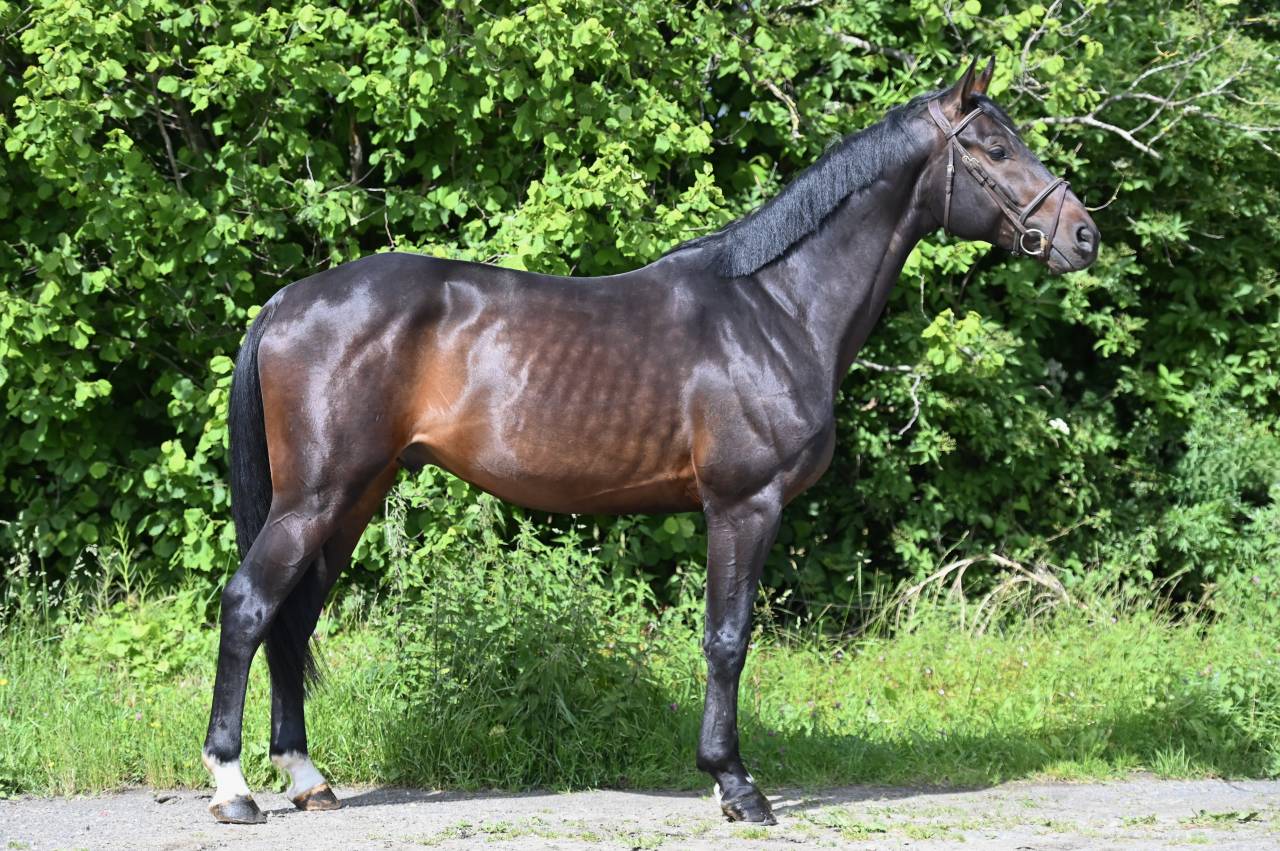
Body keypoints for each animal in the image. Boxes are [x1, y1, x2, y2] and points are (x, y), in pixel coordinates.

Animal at [201, 58, 1099, 826]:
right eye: (993, 147)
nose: (1083, 236)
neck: (775, 306)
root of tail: (290, 298)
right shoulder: (744, 504)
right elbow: (727, 640)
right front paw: (736, 786)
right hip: (317, 495)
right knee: (249, 604)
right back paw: (234, 787)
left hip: (354, 494)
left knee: (294, 617)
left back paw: (307, 778)